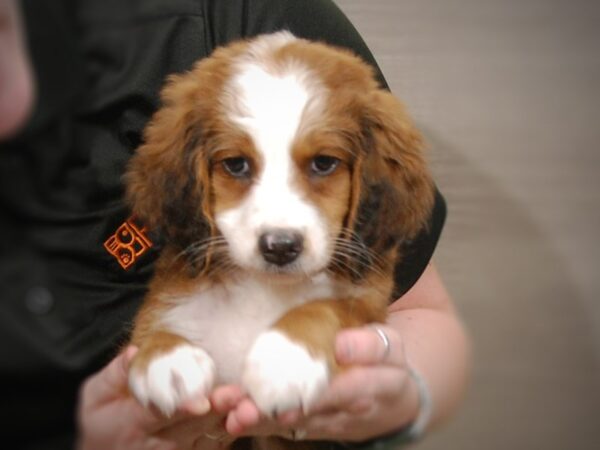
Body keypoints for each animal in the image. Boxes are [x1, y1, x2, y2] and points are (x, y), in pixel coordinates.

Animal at [126, 30, 434, 446]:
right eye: (236, 164)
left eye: (324, 163)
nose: (281, 247)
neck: (264, 289)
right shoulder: (169, 298)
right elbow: (154, 324)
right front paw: (167, 358)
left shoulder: (368, 307)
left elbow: (324, 308)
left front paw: (285, 361)